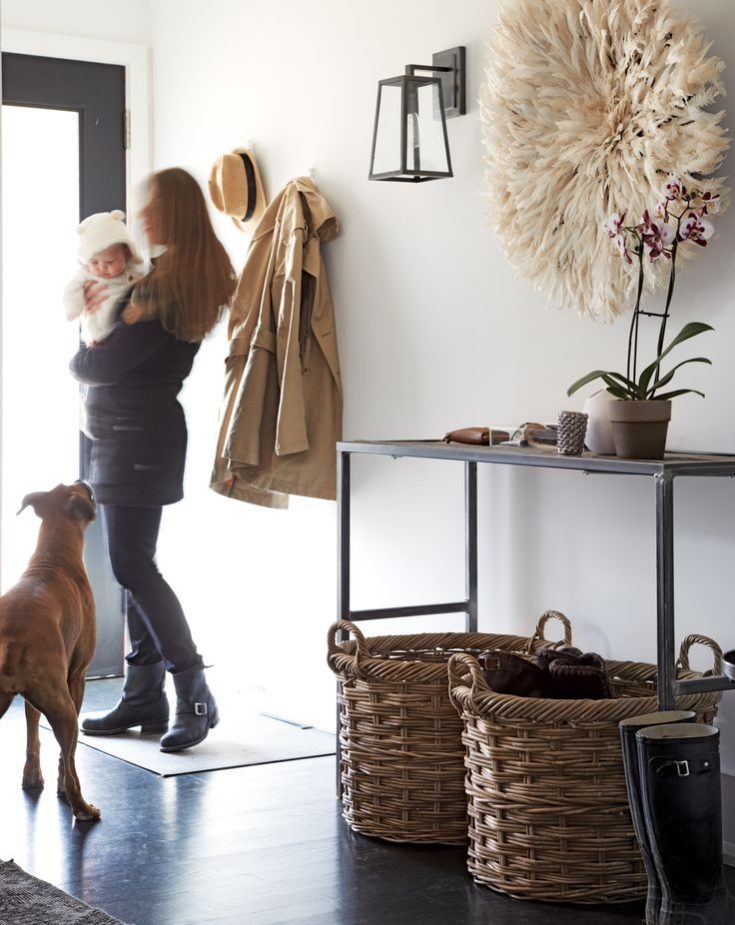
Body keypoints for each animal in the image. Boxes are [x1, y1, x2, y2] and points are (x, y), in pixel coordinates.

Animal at [0, 480, 99, 820]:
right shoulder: (77, 677)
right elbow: (66, 757)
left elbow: (32, 729)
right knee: (70, 761)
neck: (54, 554)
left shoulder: (31, 699)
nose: (86, 481)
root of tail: (12, 638)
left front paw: (32, 777)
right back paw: (82, 806)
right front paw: (57, 784)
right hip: (64, 708)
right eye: (85, 492)